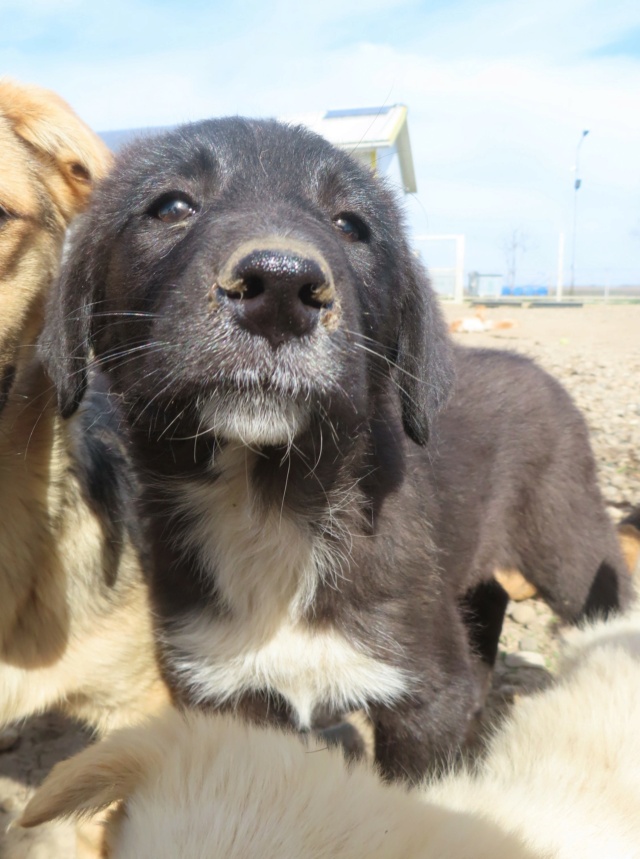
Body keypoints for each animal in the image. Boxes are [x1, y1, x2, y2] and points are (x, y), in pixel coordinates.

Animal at [38, 117, 632, 784]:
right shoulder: (221, 689)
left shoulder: (426, 692)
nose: (279, 286)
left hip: (569, 543)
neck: (268, 500)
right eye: (170, 206)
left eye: (351, 224)